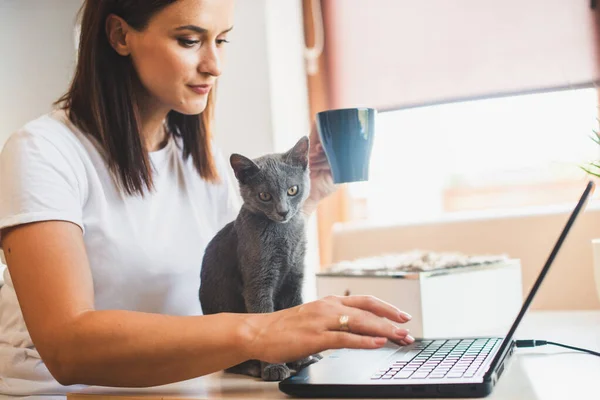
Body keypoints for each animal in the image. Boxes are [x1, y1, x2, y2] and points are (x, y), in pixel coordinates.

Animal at [198, 136, 322, 380]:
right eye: (264, 196)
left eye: (292, 190)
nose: (283, 211)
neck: (283, 236)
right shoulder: (258, 282)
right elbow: (265, 319)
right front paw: (274, 368)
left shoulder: (294, 279)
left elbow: (295, 311)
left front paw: (303, 359)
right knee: (231, 365)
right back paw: (252, 367)